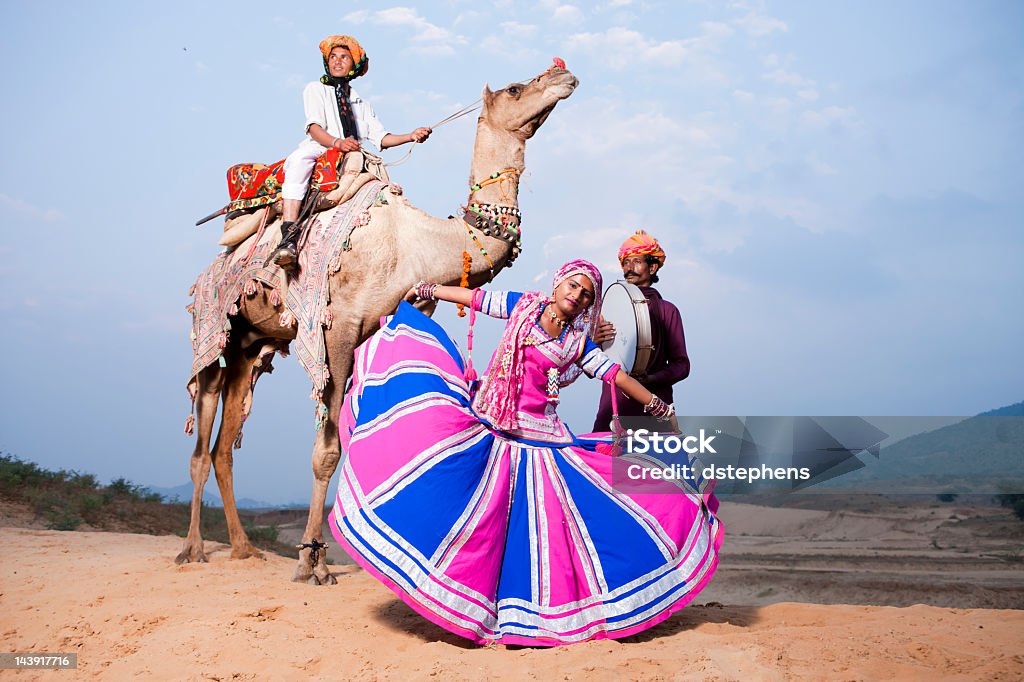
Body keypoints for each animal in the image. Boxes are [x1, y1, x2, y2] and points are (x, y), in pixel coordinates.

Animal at [176, 65, 577, 585]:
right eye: (514, 89)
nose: (563, 73)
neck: (415, 243)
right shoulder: (337, 329)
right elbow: (326, 451)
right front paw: (311, 563)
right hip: (212, 330)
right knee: (200, 440)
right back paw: (192, 549)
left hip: (250, 345)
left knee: (225, 446)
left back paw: (244, 548)